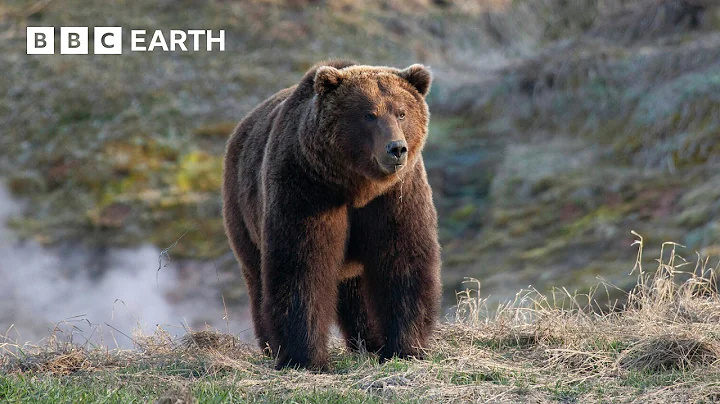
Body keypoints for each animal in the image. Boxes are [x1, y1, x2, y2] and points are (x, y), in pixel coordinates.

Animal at [222, 59, 441, 370]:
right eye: (369, 115)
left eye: (401, 112)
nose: (396, 149)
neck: (358, 186)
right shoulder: (306, 189)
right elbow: (303, 267)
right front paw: (305, 358)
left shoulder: (395, 197)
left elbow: (403, 262)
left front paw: (405, 347)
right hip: (242, 211)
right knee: (257, 276)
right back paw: (270, 346)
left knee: (356, 290)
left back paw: (370, 341)